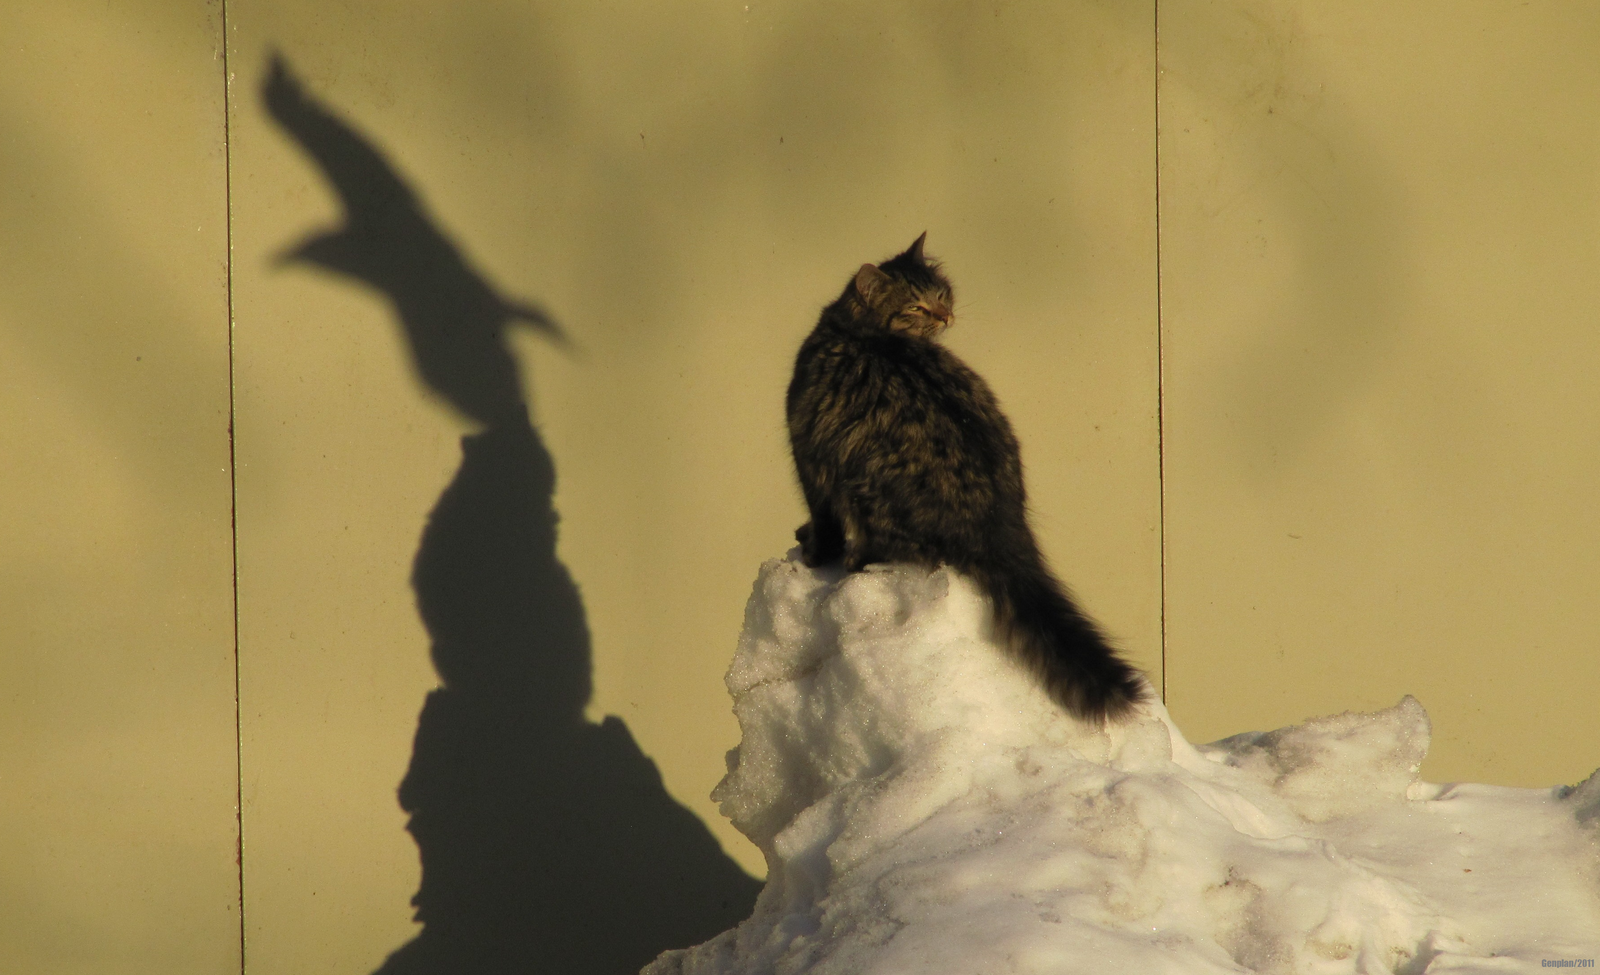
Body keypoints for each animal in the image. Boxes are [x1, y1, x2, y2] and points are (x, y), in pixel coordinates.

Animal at [780, 233, 1145, 723]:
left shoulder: (810, 460)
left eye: (941, 295)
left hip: (863, 490)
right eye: (917, 306)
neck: (857, 329)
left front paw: (814, 556)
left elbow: (822, 525)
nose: (945, 316)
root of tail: (998, 528)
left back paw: (854, 561)